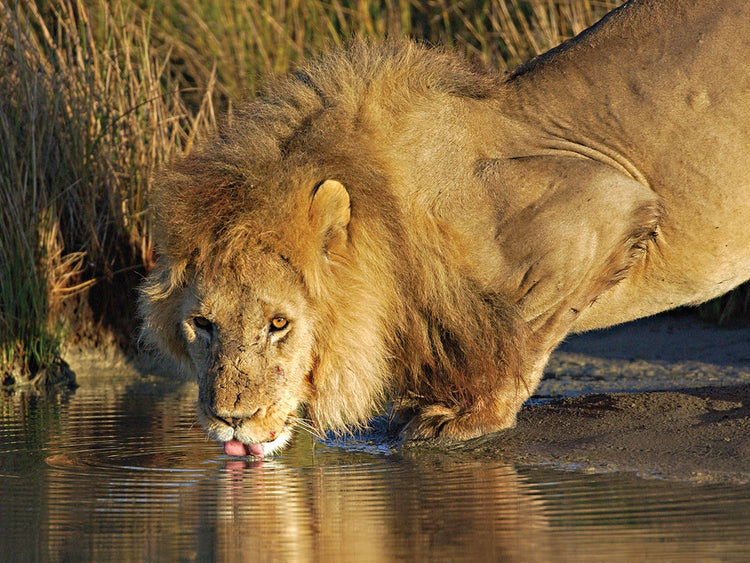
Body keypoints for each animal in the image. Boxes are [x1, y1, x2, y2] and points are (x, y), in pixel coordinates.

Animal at [139, 0, 750, 458]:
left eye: (279, 324)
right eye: (202, 324)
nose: (231, 419)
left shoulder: (608, 202)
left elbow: (521, 328)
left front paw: (467, 414)